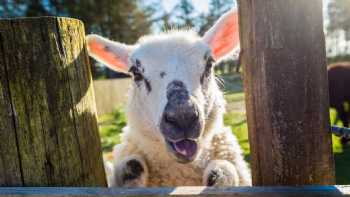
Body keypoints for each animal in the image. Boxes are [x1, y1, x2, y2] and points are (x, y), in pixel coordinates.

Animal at [87, 9, 252, 187]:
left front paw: (219, 175)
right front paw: (130, 173)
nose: (183, 117)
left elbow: (225, 169)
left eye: (209, 64)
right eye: (136, 73)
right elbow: (132, 164)